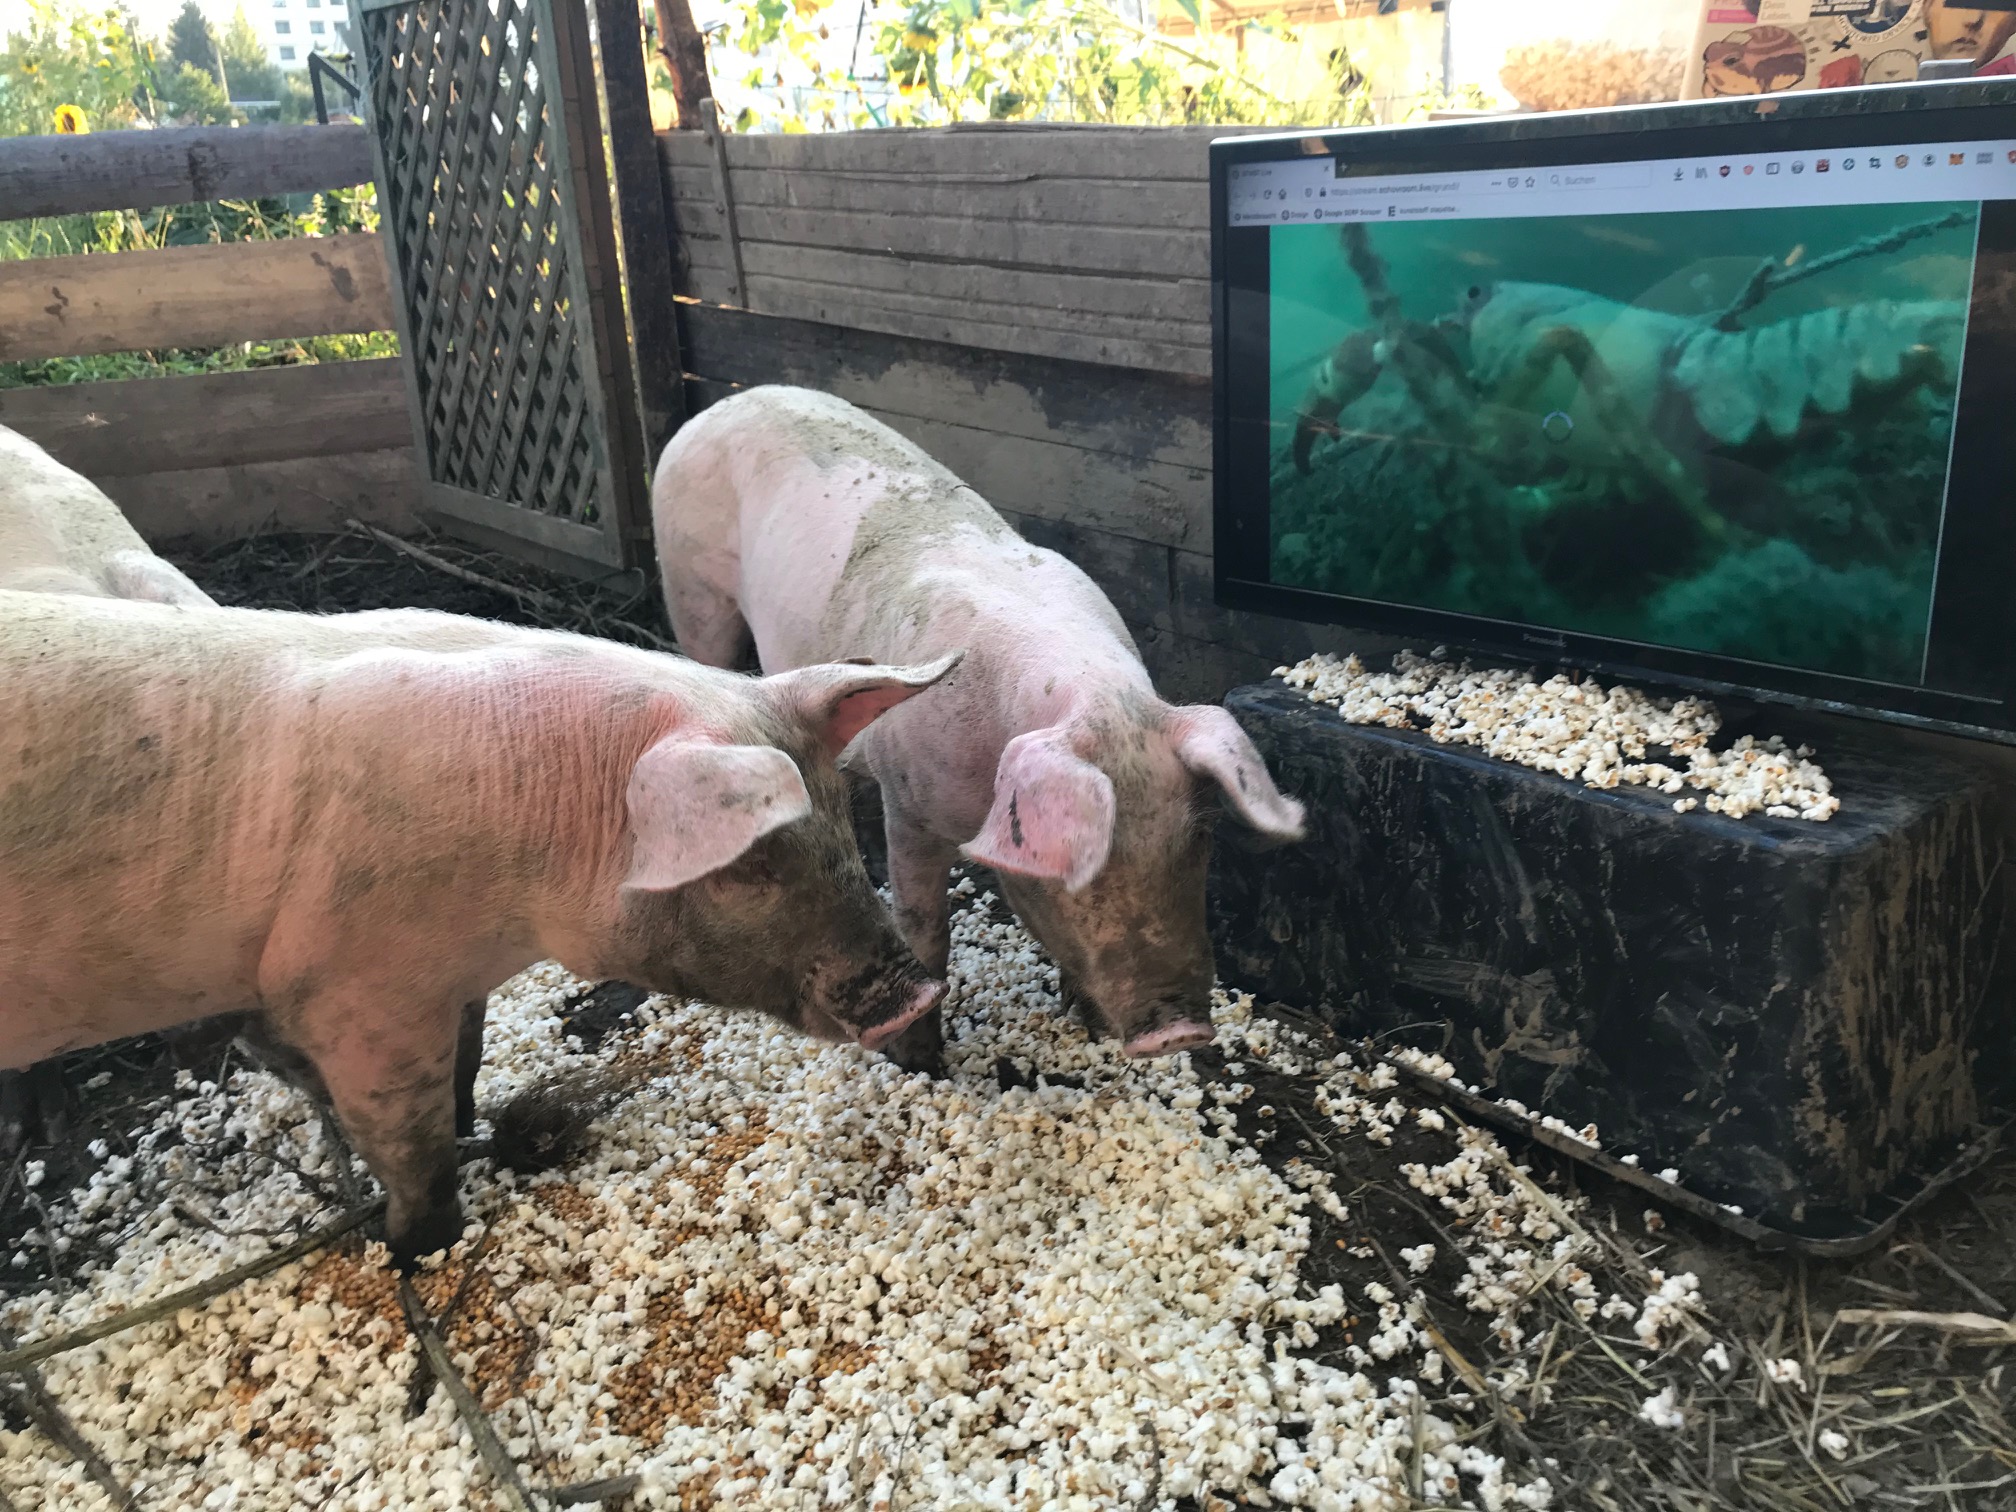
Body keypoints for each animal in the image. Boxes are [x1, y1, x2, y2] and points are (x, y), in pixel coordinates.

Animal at [0, 587, 957, 1264]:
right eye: (749, 865)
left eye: (843, 825)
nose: (915, 989)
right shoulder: (356, 992)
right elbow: (410, 1140)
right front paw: (416, 1249)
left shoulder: (442, 983)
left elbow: (464, 1061)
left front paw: (470, 1123)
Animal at [652, 386, 1305, 1075]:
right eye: (1071, 860)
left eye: (1197, 838)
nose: (1179, 1031)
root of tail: (728, 404)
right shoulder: (908, 802)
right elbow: (924, 928)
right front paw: (919, 1063)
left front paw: (1088, 1024)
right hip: (691, 588)